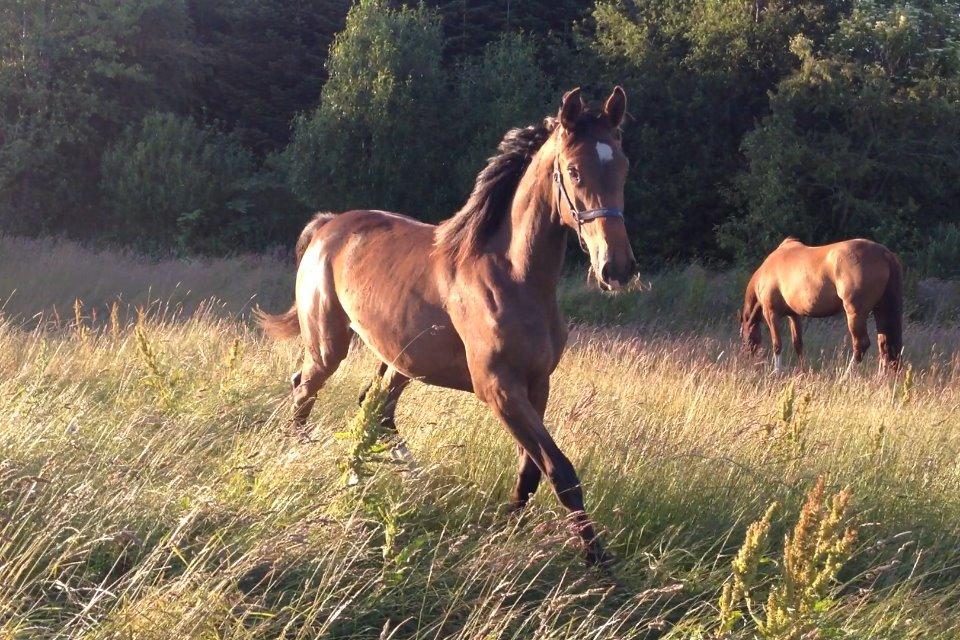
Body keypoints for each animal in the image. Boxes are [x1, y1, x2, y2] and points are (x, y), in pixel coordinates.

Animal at [258, 87, 640, 564]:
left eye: (623, 165)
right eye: (573, 169)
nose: (617, 268)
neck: (512, 276)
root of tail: (328, 224)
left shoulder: (536, 385)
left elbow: (531, 469)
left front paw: (506, 525)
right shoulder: (498, 388)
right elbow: (560, 469)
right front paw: (597, 559)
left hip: (399, 359)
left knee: (376, 409)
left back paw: (393, 478)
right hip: (329, 344)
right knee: (305, 388)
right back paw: (303, 453)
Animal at [744, 238, 900, 372]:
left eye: (744, 337)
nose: (748, 359)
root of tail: (884, 253)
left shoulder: (771, 313)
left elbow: (777, 344)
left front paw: (777, 372)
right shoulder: (794, 315)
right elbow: (798, 344)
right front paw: (803, 372)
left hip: (856, 314)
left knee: (861, 344)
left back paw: (845, 377)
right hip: (881, 310)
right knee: (884, 345)